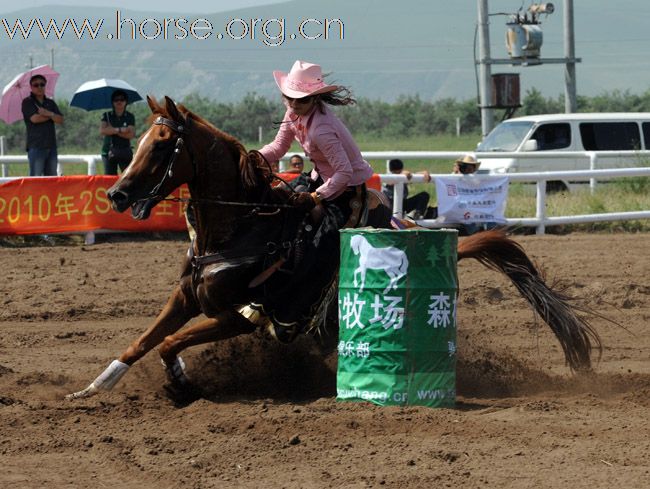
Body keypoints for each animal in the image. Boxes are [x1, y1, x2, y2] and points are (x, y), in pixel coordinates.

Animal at [66, 96, 596, 400]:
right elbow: (143, 340)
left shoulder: (234, 316)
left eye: (160, 145)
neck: (241, 226)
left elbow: (169, 344)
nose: (116, 195)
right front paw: (94, 387)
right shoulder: (186, 297)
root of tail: (410, 226)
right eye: (137, 141)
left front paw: (180, 380)